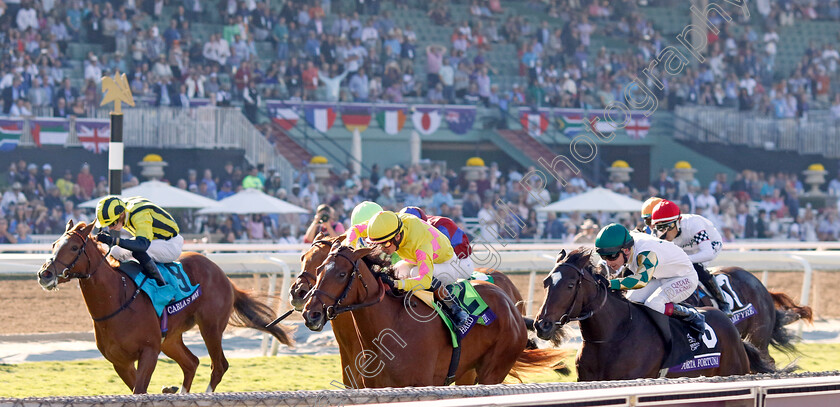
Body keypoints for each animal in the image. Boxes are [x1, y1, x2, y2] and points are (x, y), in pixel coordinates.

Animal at [36, 223, 292, 396]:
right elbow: (138, 390)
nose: (44, 274)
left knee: (219, 366)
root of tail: (225, 276)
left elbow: (139, 390)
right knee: (191, 363)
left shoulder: (149, 351)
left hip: (210, 327)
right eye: (53, 245)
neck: (117, 300)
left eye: (74, 247)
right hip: (171, 339)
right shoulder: (120, 362)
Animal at [298, 244, 568, 388]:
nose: (311, 313)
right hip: (466, 374)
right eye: (319, 269)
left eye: (342, 274)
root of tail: (512, 308)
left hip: (493, 371)